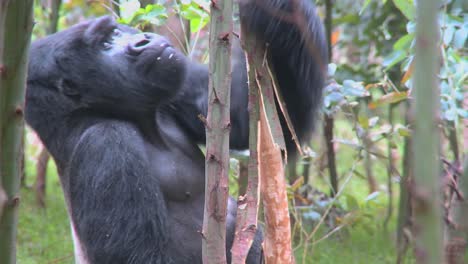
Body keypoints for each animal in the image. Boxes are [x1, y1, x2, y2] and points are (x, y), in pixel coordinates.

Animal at [24, 0, 326, 262]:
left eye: (116, 31)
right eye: (105, 44)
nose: (143, 39)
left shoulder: (173, 89)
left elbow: (248, 121)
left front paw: (273, 8)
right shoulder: (106, 144)